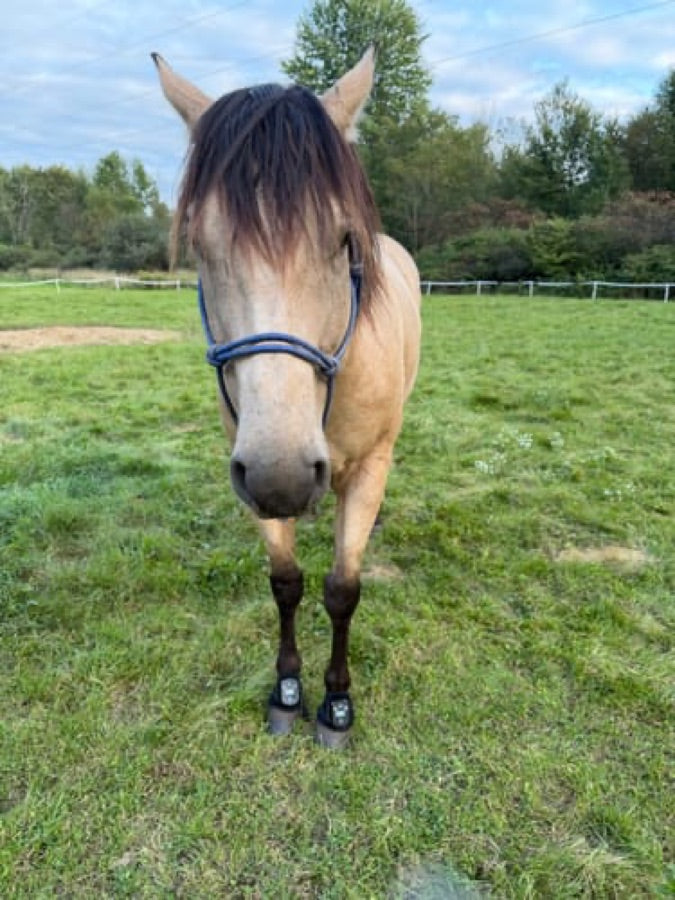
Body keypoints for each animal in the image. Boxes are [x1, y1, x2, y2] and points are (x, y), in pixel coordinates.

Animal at [152, 47, 421, 747]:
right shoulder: (253, 476)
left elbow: (343, 588)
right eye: (201, 246)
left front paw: (336, 704)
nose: (284, 477)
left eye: (344, 239)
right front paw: (288, 691)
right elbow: (286, 583)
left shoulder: (366, 466)